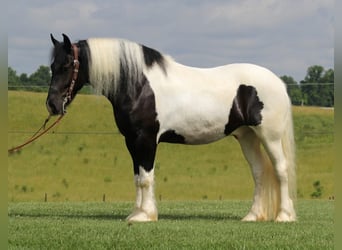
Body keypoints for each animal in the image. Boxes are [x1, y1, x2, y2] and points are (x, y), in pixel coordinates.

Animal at [46, 33, 296, 223]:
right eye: (52, 66)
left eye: (67, 65)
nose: (52, 105)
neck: (139, 85)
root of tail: (278, 82)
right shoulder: (131, 141)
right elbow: (137, 177)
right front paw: (136, 213)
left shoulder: (146, 139)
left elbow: (146, 178)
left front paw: (145, 216)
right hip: (247, 137)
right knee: (259, 172)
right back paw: (252, 216)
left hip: (269, 136)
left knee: (281, 170)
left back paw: (284, 216)